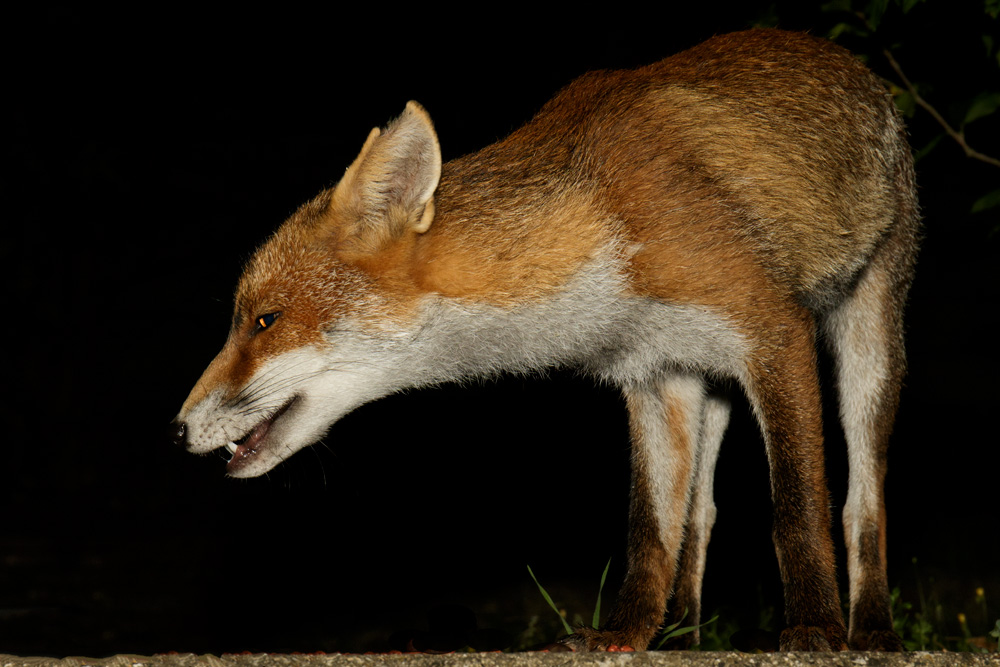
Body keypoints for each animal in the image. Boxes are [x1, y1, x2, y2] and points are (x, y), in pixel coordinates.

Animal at [170, 28, 918, 652]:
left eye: (263, 320)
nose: (175, 430)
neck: (604, 224)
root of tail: (845, 59)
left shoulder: (773, 334)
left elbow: (797, 508)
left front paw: (815, 627)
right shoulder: (655, 374)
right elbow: (652, 528)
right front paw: (626, 634)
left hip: (868, 339)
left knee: (863, 499)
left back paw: (871, 628)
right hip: (709, 382)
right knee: (701, 512)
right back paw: (684, 630)